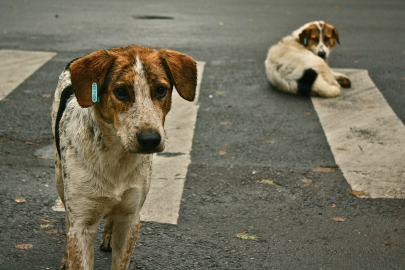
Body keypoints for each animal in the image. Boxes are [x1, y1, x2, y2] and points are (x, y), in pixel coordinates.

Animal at [51, 45, 196, 268]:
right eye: (120, 91)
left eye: (160, 90)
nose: (150, 139)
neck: (116, 157)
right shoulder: (82, 224)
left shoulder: (131, 219)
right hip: (60, 177)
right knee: (67, 217)